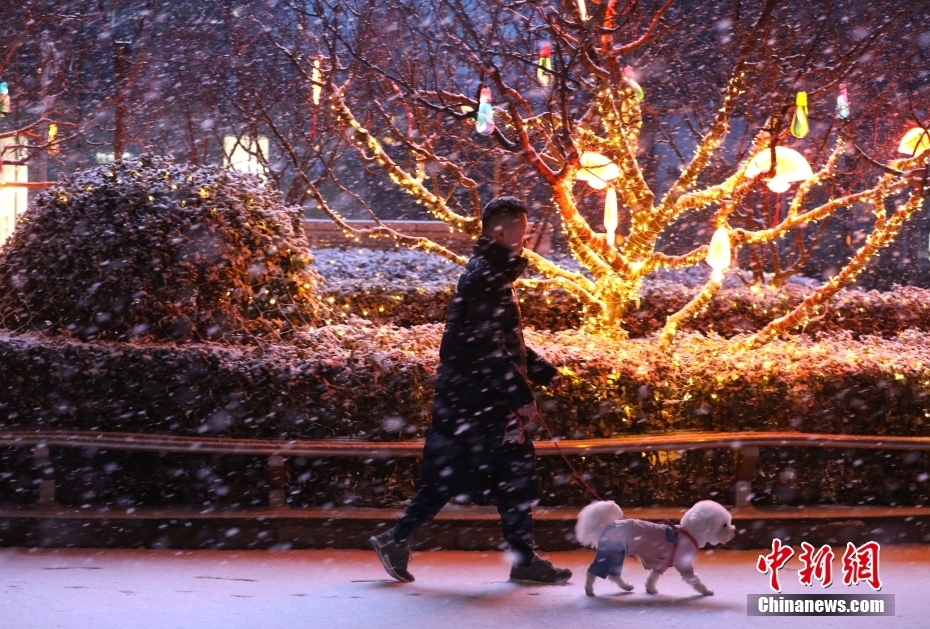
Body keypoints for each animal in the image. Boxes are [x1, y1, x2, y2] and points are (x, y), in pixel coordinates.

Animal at [572, 498, 732, 596]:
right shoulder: (683, 564)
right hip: (608, 554)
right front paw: (706, 591)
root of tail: (607, 525)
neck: (689, 532)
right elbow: (695, 579)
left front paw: (650, 589)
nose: (734, 531)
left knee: (613, 575)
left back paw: (626, 586)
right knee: (592, 573)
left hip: (616, 555)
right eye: (724, 525)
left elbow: (652, 576)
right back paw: (589, 590)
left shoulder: (661, 563)